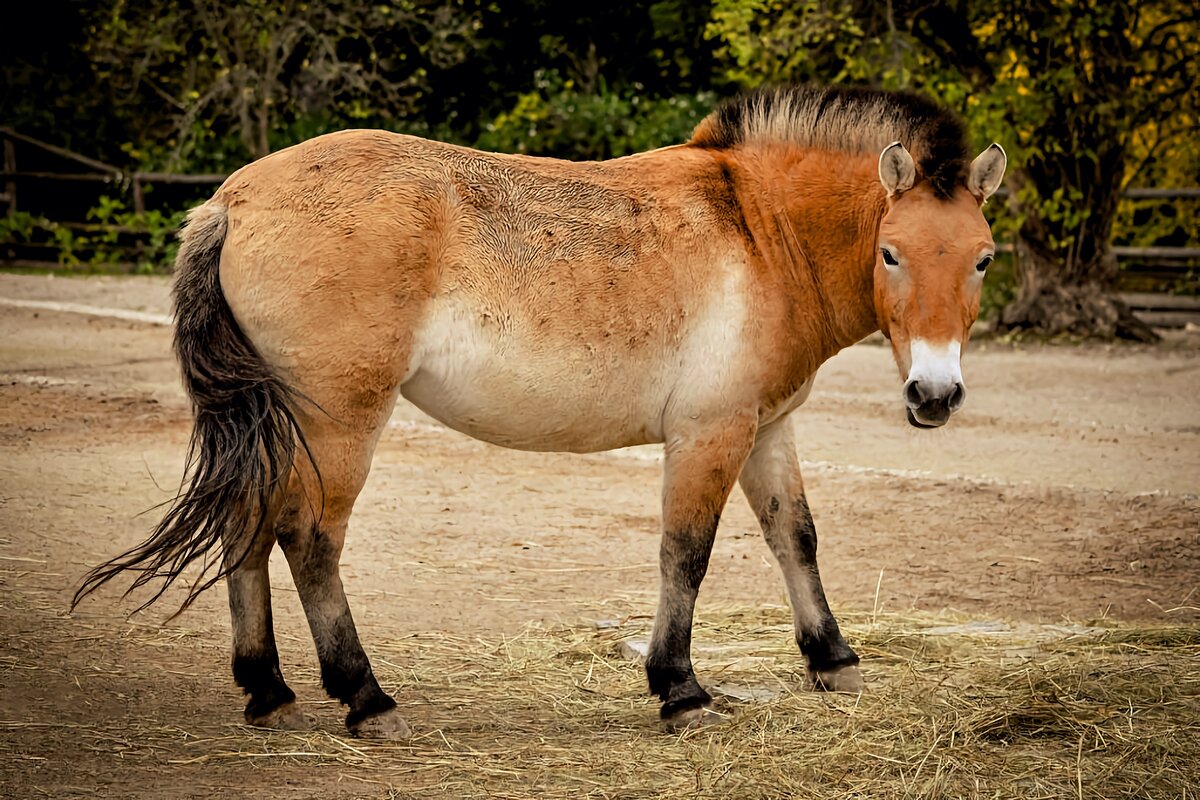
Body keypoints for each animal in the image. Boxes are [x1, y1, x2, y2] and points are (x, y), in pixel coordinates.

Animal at [75, 82, 1008, 738]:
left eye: (984, 258)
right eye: (892, 253)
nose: (935, 395)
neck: (757, 225)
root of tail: (232, 200)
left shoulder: (765, 426)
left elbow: (795, 536)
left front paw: (834, 659)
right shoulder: (710, 433)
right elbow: (686, 555)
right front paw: (680, 690)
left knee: (246, 525)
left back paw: (267, 690)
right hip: (338, 422)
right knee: (309, 540)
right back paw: (366, 697)